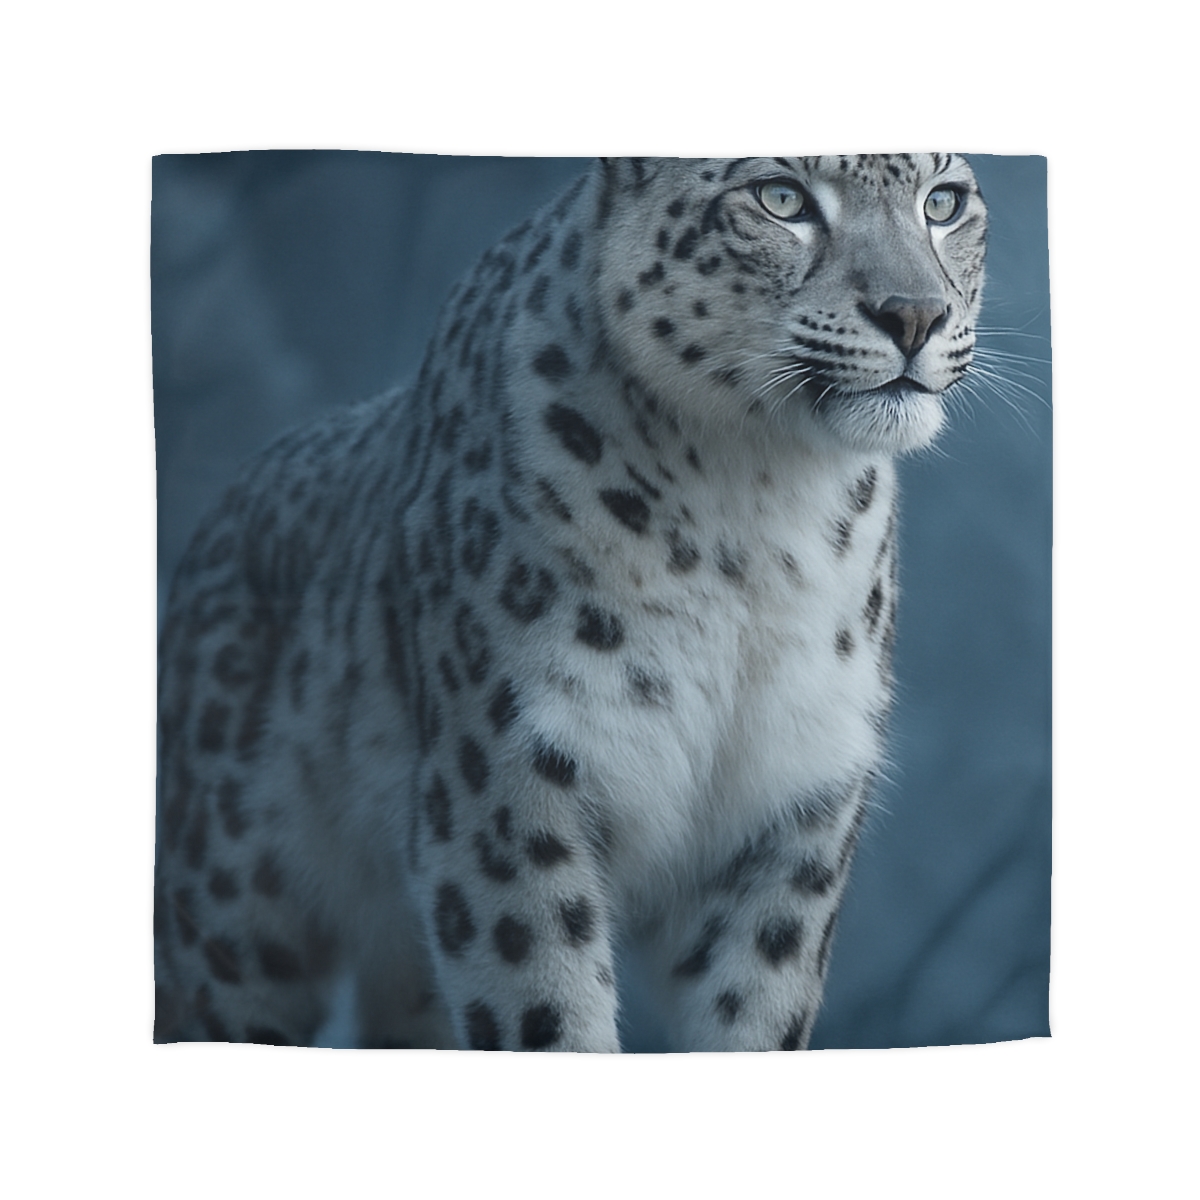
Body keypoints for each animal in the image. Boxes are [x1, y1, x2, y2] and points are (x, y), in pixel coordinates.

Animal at [154, 154, 988, 1052]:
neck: (762, 513)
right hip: (232, 922)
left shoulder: (791, 817)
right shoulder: (506, 790)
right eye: (782, 198)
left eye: (943, 202)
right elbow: (547, 1008)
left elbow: (753, 1017)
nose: (916, 315)